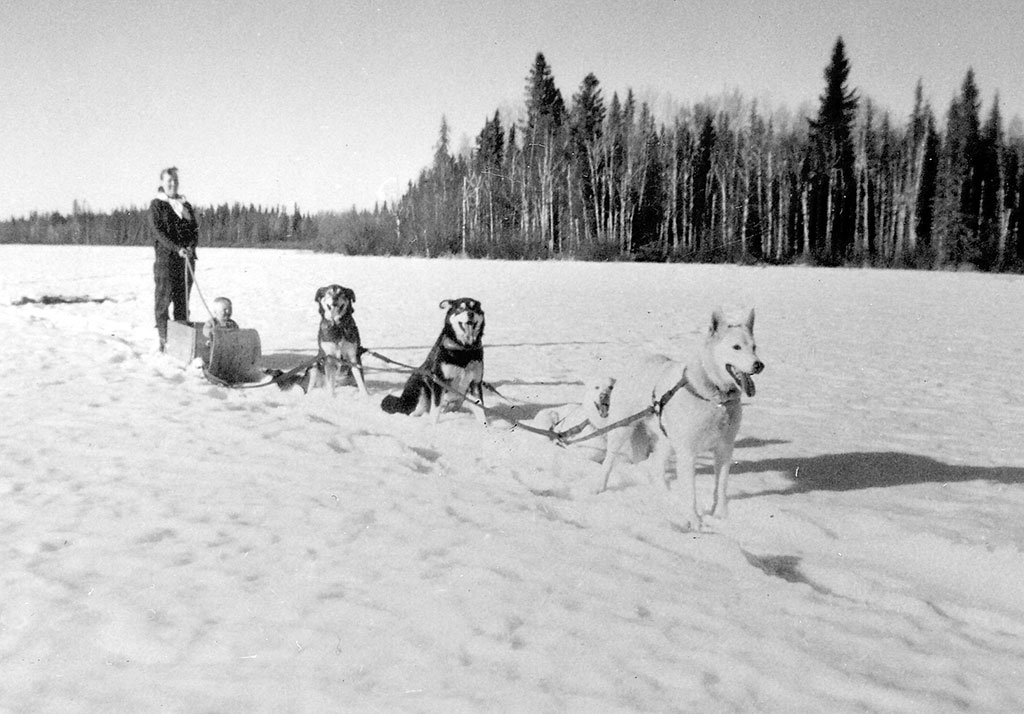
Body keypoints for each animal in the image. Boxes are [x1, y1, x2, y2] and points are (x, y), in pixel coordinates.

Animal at [598, 307, 765, 528]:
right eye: (736, 347)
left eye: (754, 347)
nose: (759, 365)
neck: (715, 399)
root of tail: (638, 360)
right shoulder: (687, 453)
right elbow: (690, 492)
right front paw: (694, 520)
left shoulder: (725, 449)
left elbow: (721, 486)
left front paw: (721, 515)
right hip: (622, 428)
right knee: (609, 461)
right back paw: (599, 486)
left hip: (667, 440)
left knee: (656, 468)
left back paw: (666, 496)